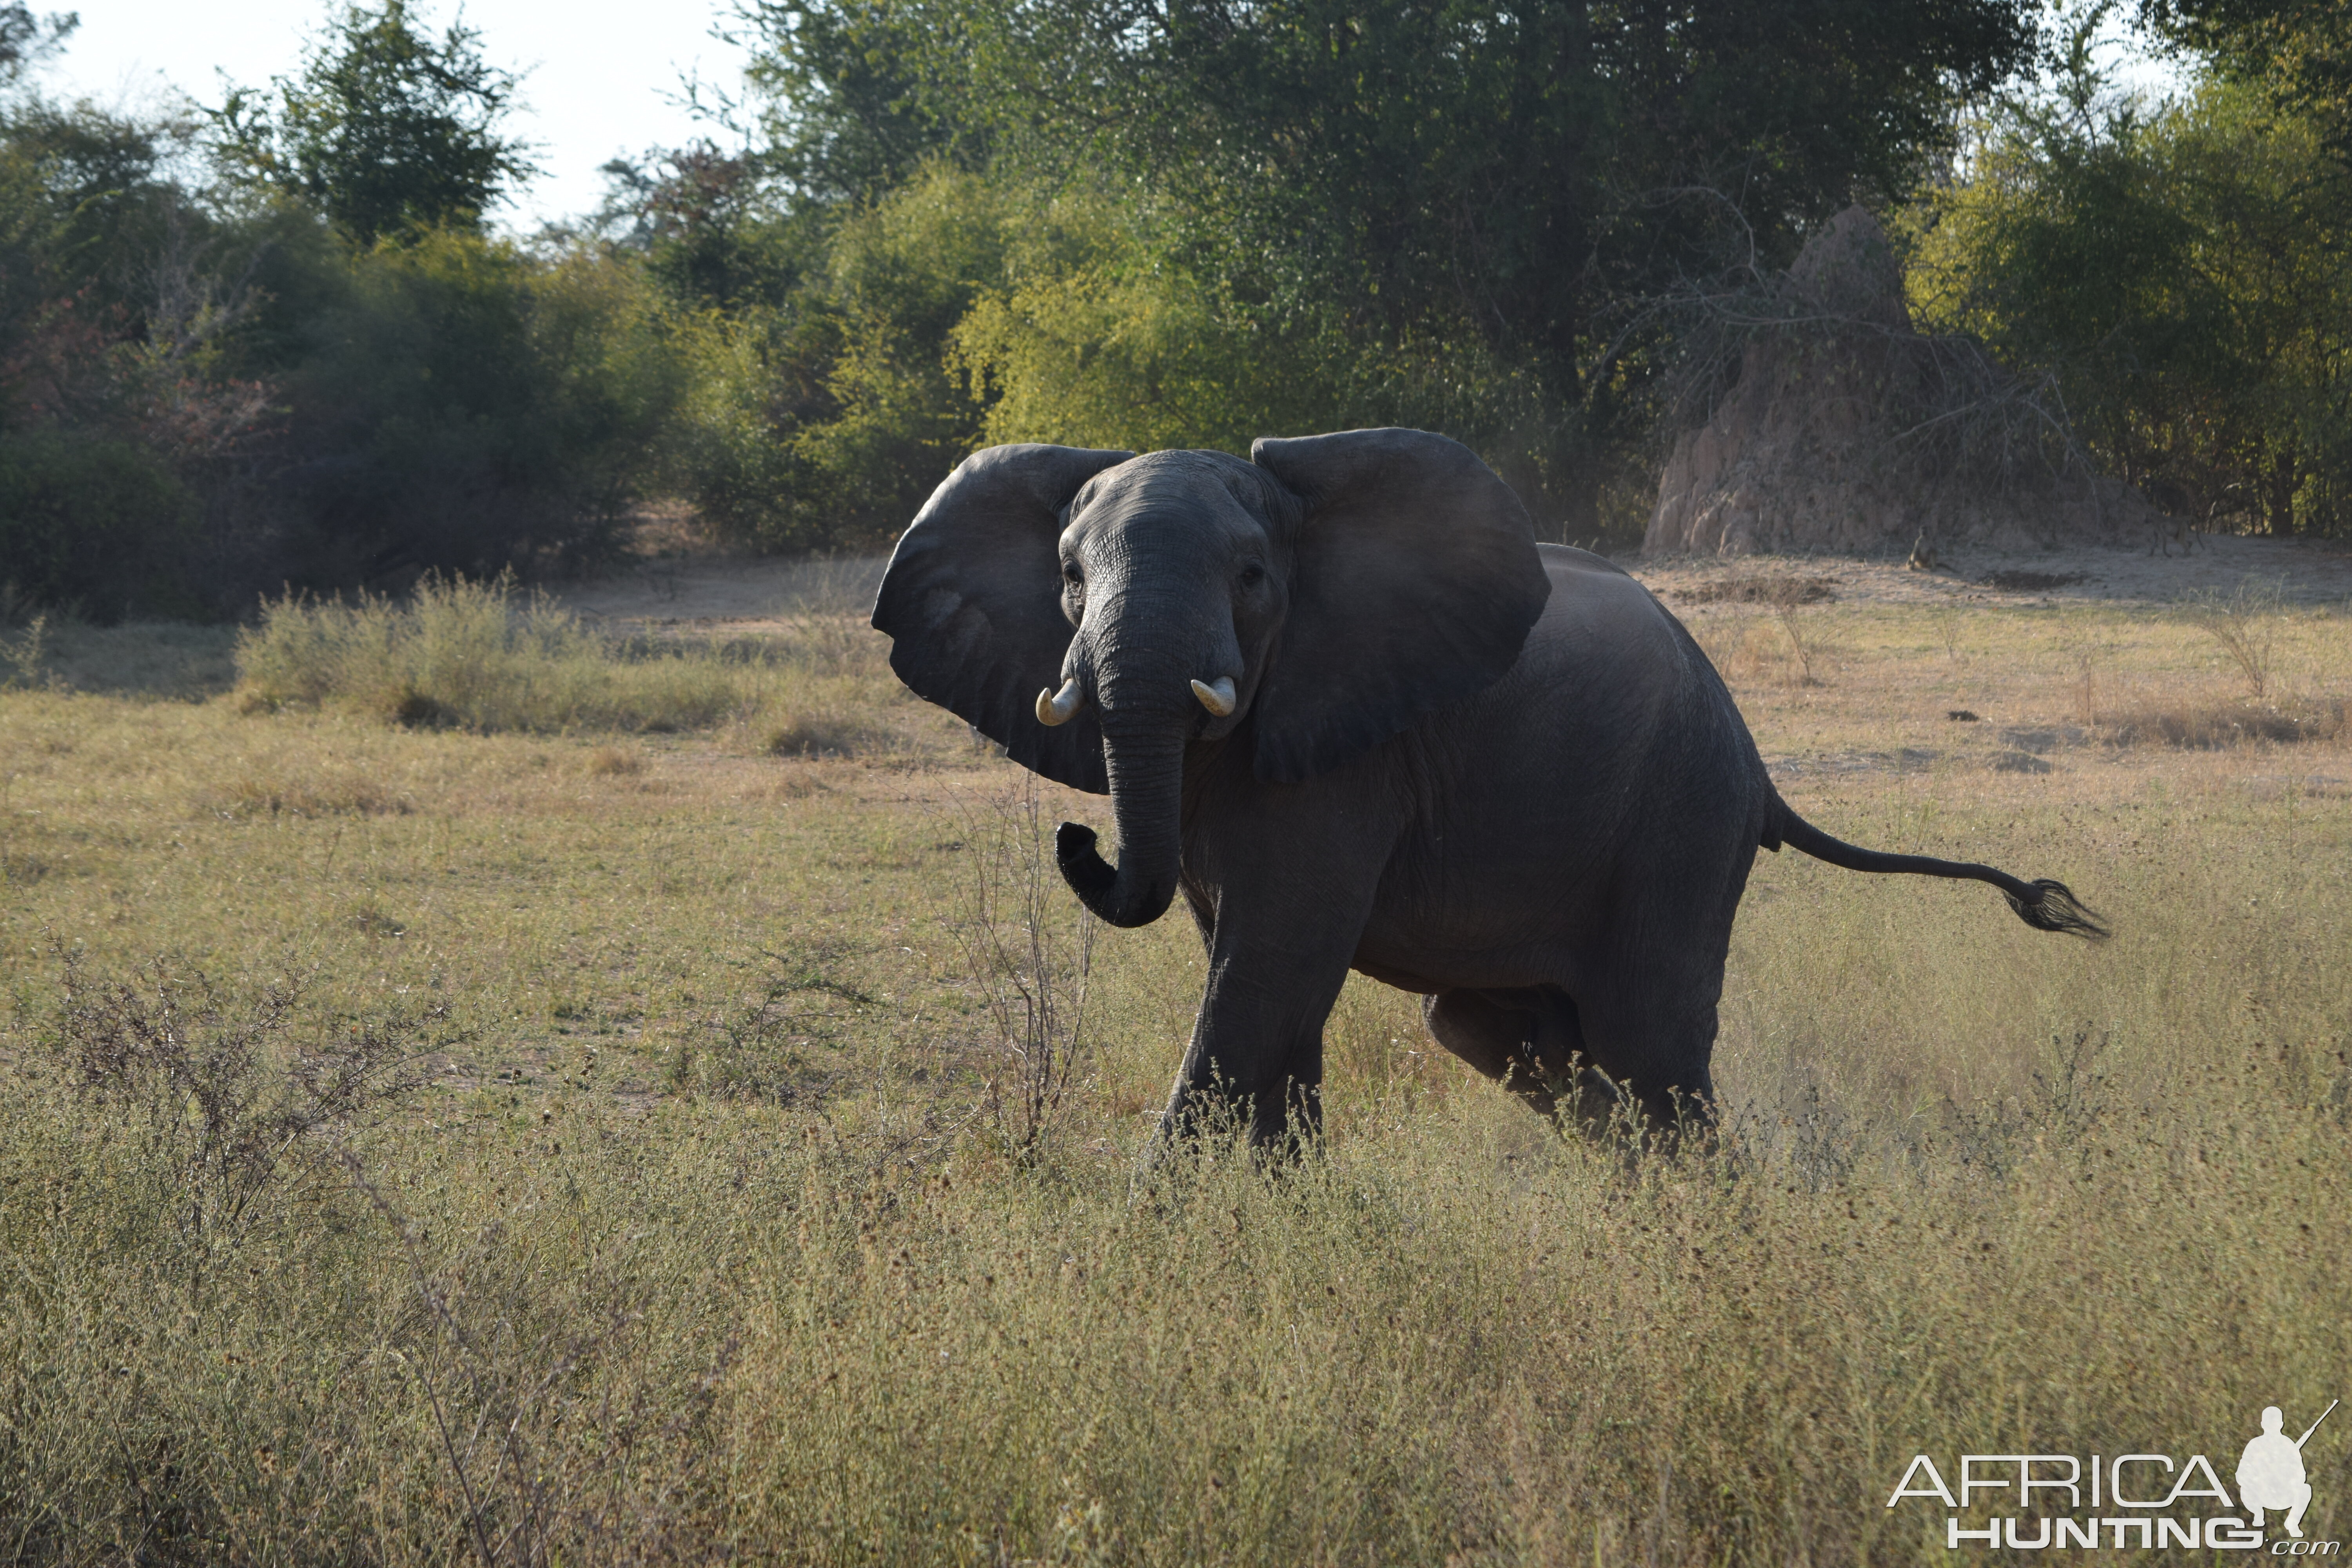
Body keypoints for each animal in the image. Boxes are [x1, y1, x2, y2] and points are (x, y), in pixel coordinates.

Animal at [870, 430, 2117, 1152]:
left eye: (1254, 578)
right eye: (1068, 579)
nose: (1079, 841)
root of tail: (1763, 774)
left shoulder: (1350, 753)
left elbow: (1267, 973)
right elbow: (1265, 986)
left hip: (1682, 820)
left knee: (1655, 1044)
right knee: (1500, 1031)